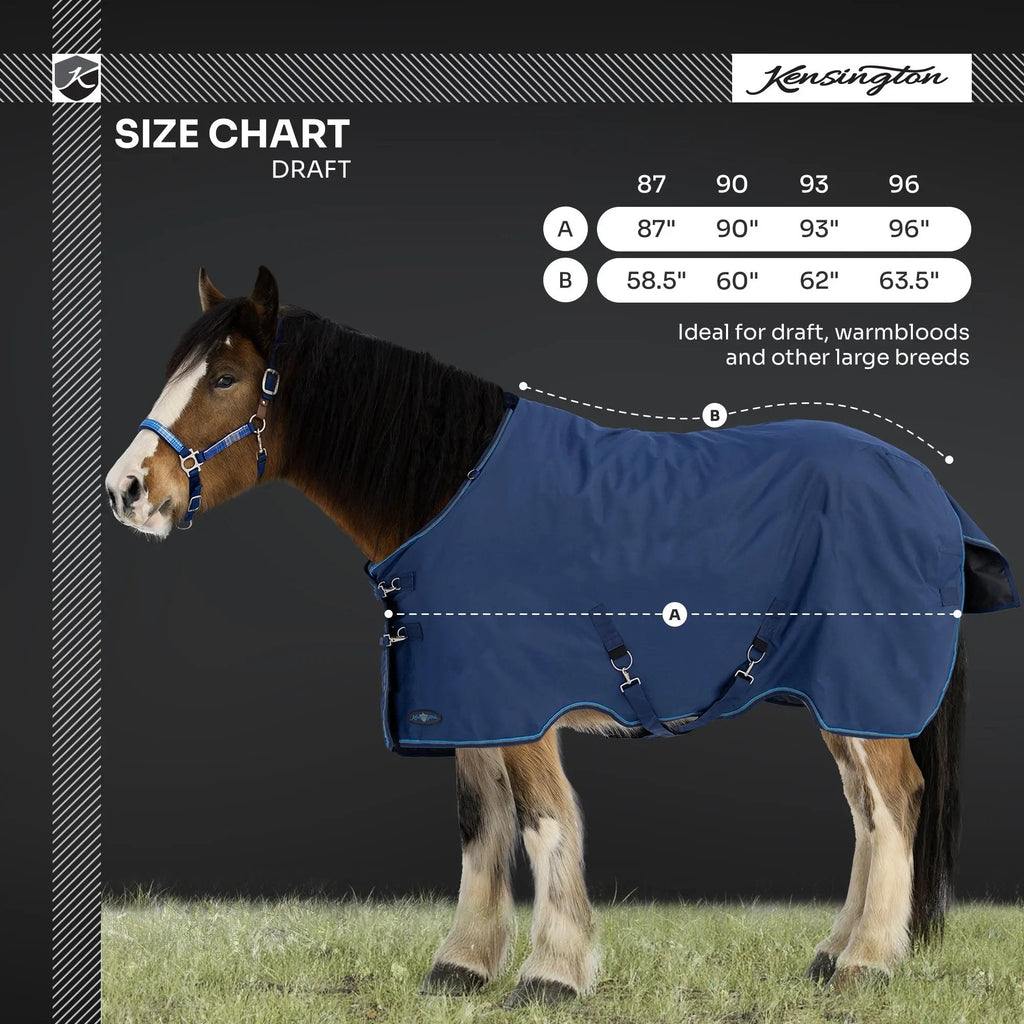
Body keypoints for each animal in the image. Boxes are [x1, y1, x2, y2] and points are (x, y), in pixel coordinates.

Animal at [105, 267, 1016, 1007]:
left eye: (225, 377)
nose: (127, 490)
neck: (450, 491)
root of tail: (931, 496)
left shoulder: (525, 706)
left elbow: (544, 819)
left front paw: (553, 973)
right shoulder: (468, 702)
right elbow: (481, 824)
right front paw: (463, 965)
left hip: (864, 692)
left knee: (895, 800)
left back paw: (868, 962)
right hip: (837, 699)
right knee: (866, 810)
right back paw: (831, 955)